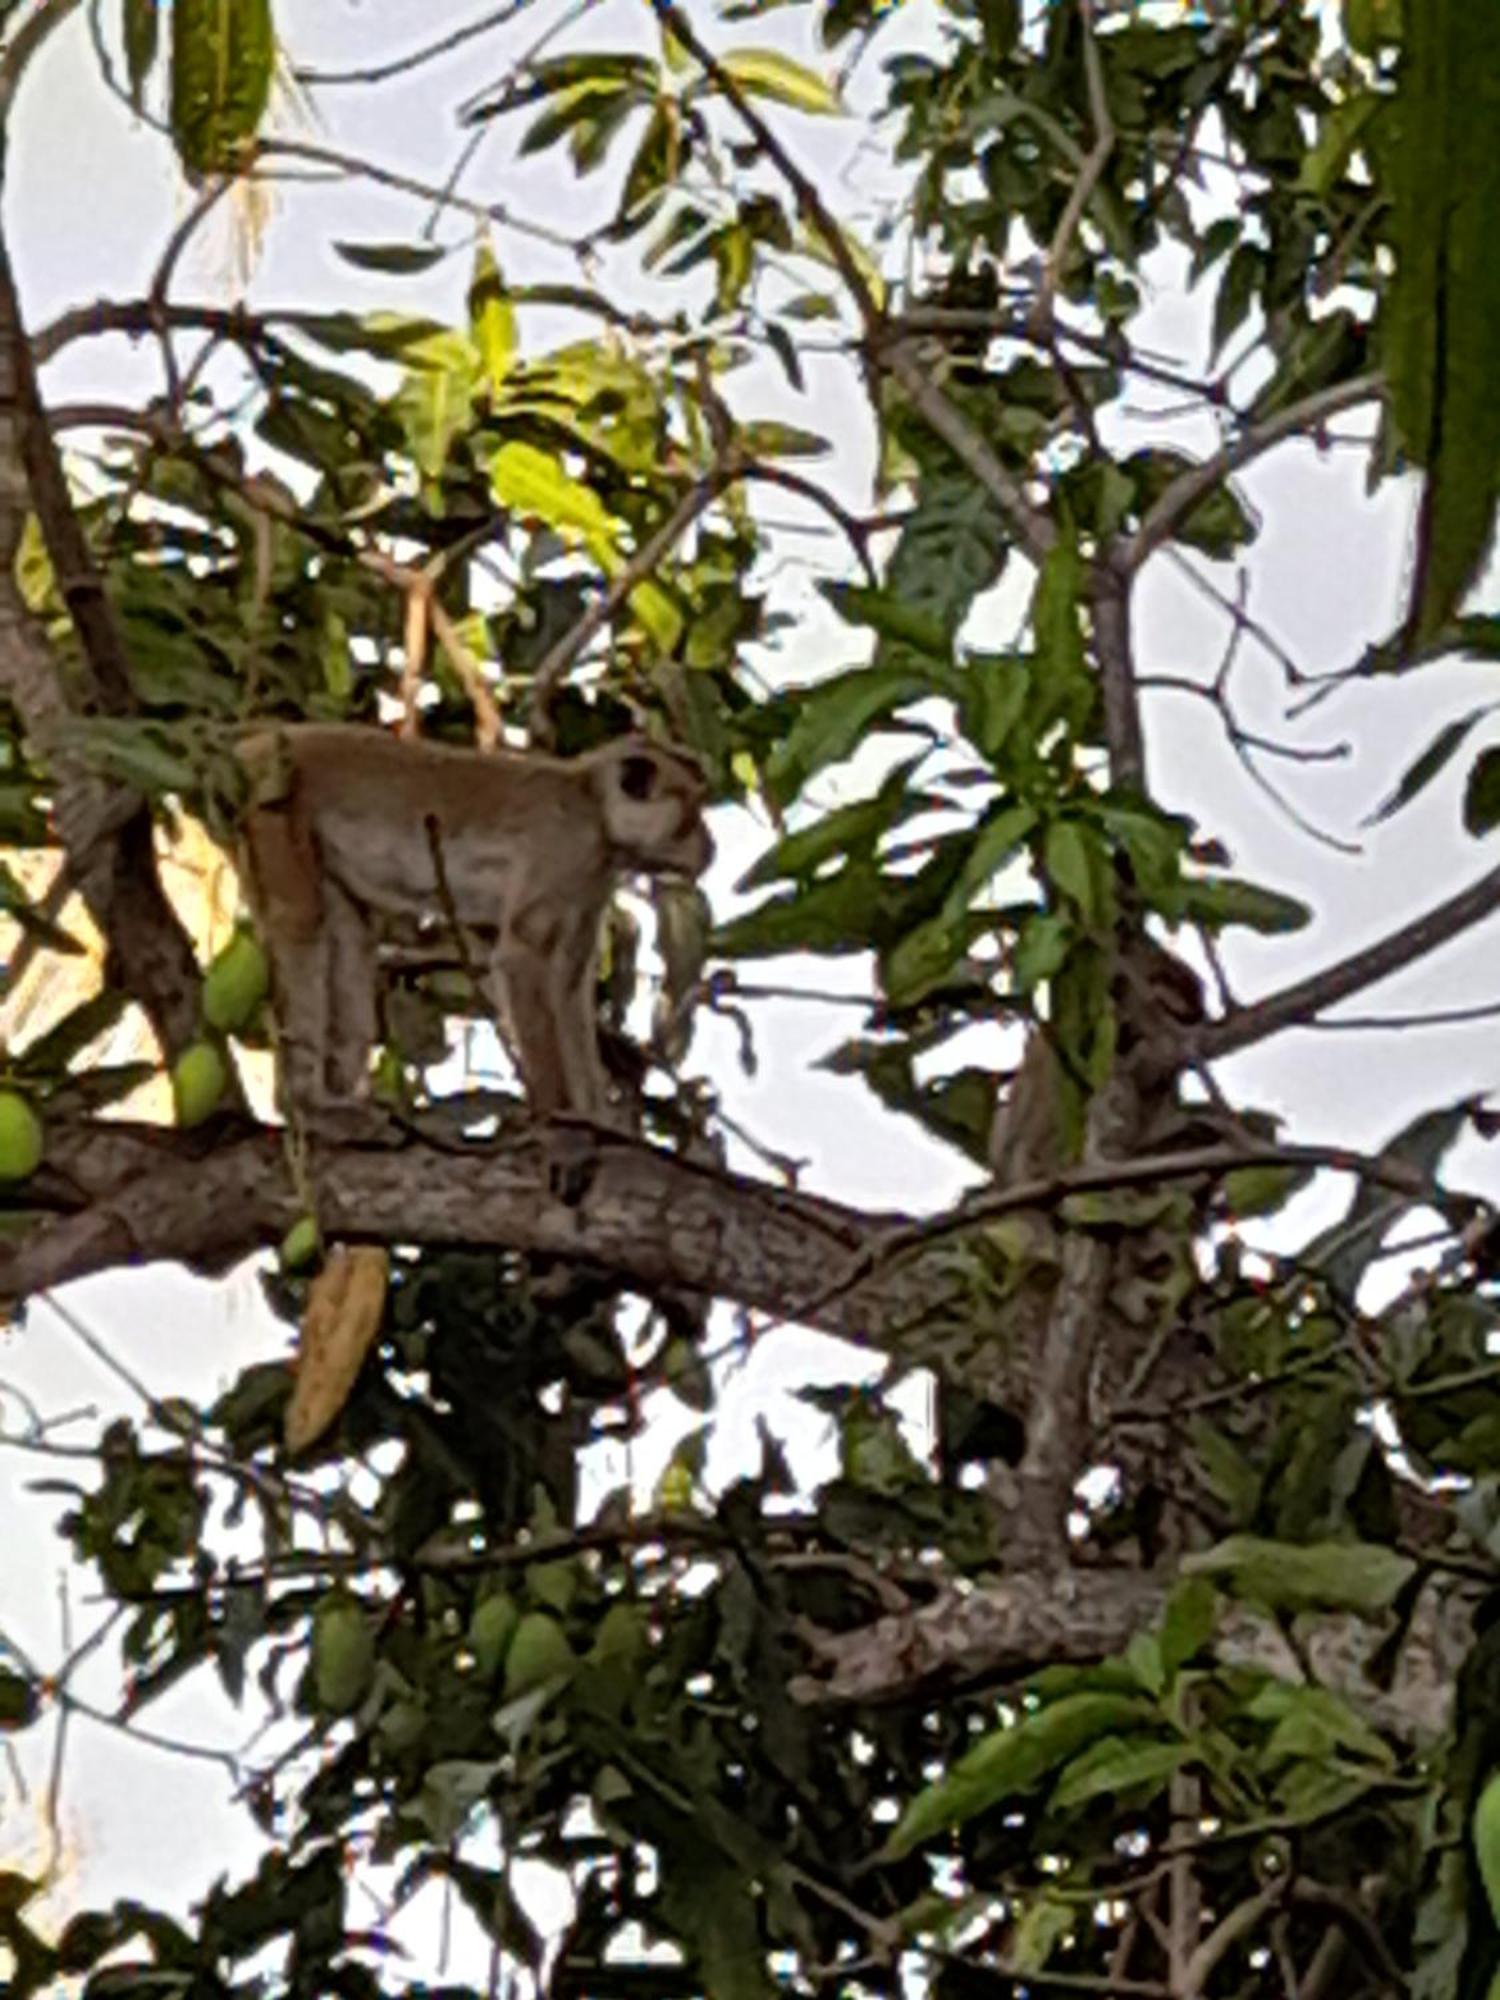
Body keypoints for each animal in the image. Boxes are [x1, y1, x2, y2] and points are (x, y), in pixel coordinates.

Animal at [239, 720, 716, 1136]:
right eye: (690, 811)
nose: (709, 847)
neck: (595, 807)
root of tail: (255, 746)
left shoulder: (589, 881)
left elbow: (566, 989)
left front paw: (596, 1116)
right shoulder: (567, 848)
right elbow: (521, 957)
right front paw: (557, 1112)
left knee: (351, 942)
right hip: (273, 812)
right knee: (301, 924)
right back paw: (304, 1105)